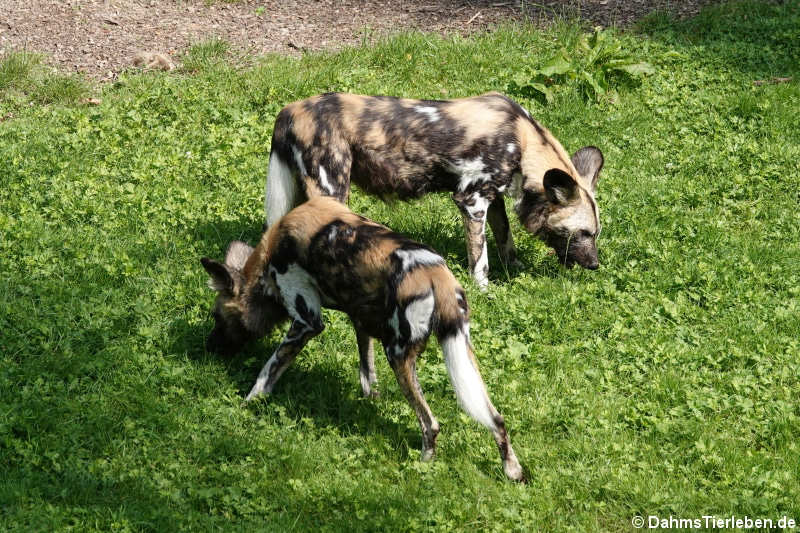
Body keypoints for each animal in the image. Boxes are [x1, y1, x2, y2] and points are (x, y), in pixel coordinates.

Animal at [200, 196, 524, 482]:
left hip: (398, 356)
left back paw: (422, 466)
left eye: (217, 317)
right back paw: (513, 471)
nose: (208, 347)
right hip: (462, 355)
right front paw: (369, 404)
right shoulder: (361, 322)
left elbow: (267, 372)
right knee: (496, 418)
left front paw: (246, 405)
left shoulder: (307, 322)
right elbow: (367, 376)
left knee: (430, 424)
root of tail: (437, 275)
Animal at [266, 92, 604, 290]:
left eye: (595, 234)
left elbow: (505, 238)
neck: (523, 142)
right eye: (583, 233)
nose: (595, 265)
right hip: (332, 189)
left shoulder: (493, 199)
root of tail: (290, 110)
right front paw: (483, 290)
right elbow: (480, 259)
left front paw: (514, 269)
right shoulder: (471, 201)